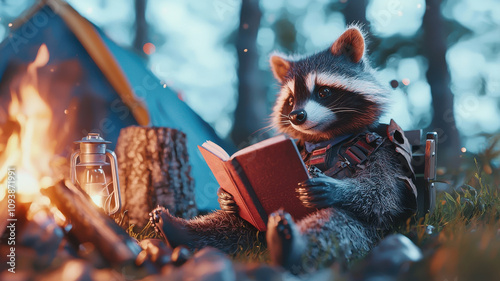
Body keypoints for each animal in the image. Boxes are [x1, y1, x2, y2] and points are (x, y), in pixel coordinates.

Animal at [149, 26, 418, 274]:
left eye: (323, 91)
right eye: (290, 100)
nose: (296, 115)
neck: (324, 139)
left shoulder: (380, 150)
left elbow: (382, 194)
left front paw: (336, 189)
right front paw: (225, 196)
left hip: (369, 232)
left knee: (337, 224)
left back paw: (291, 245)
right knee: (232, 222)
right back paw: (179, 230)